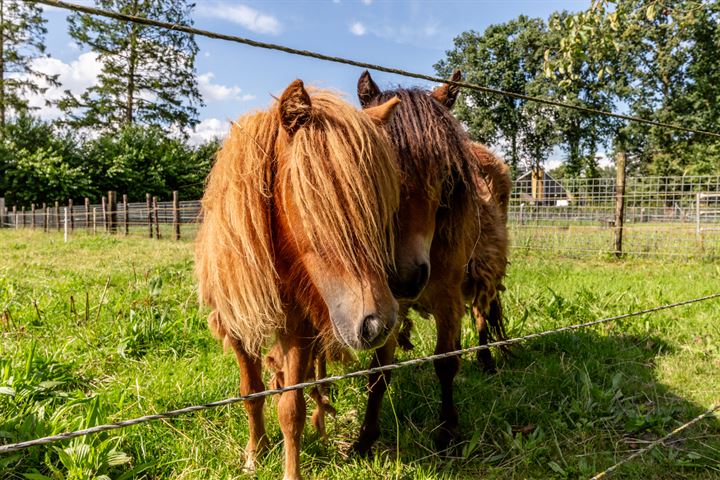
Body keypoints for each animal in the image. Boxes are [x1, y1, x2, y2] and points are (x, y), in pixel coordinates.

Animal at [194, 79, 402, 480]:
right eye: (316, 204)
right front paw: (255, 453)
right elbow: (251, 392)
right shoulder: (237, 325)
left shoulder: (298, 330)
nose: (378, 324)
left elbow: (292, 410)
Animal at [352, 70, 510, 454]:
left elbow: (446, 364)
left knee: (482, 313)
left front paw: (448, 432)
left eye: (446, 172)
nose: (405, 276)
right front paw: (365, 439)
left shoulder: (448, 298)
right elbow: (378, 372)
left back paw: (486, 360)